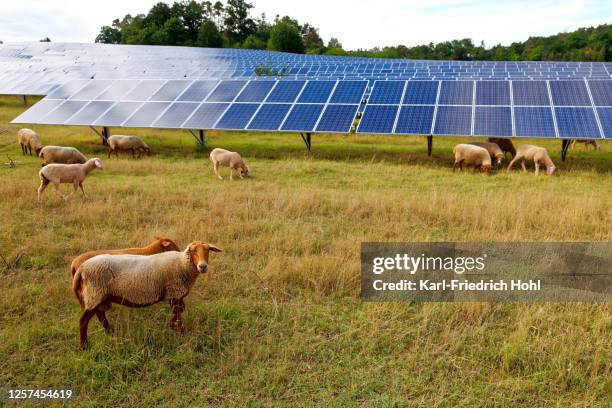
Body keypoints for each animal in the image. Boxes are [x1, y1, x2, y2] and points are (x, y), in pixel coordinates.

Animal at [72, 241, 220, 350]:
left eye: (208, 250)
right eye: (193, 251)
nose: (203, 266)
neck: (182, 264)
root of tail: (81, 267)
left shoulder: (175, 294)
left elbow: (179, 311)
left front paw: (170, 326)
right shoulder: (174, 292)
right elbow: (177, 314)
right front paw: (180, 331)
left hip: (99, 295)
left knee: (101, 315)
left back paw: (110, 332)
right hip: (95, 293)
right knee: (83, 321)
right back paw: (84, 346)